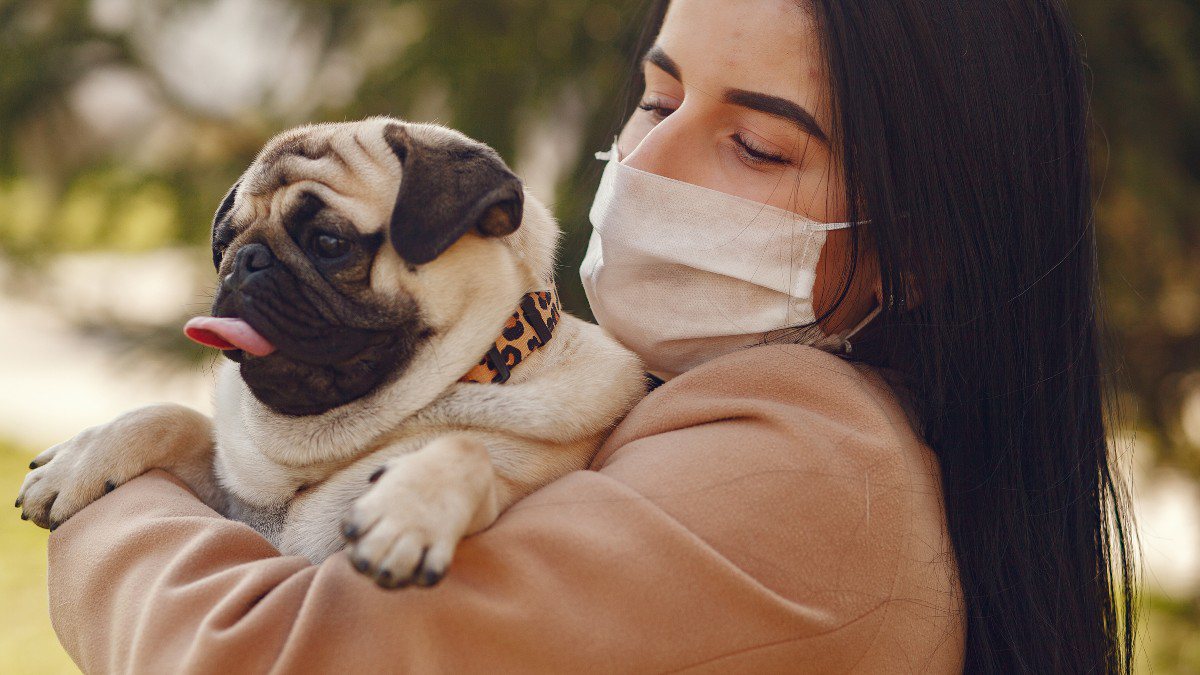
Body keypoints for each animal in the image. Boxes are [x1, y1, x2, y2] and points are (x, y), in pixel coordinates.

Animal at [16, 118, 648, 586]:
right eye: (224, 242)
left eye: (328, 243)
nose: (246, 262)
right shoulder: (236, 505)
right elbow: (171, 416)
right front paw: (81, 459)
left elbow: (467, 448)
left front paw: (410, 509)